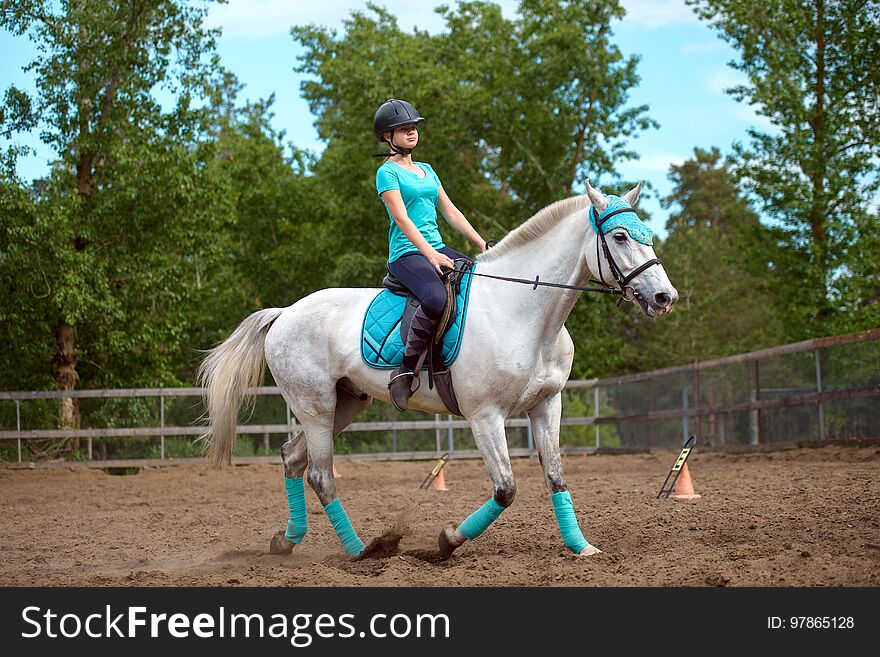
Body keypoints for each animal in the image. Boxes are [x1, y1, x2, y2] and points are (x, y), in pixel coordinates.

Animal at [201, 179, 680, 560]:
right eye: (620, 236)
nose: (664, 298)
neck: (525, 311)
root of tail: (284, 314)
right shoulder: (485, 416)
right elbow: (506, 488)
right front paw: (448, 540)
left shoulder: (547, 405)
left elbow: (556, 476)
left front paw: (582, 547)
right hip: (314, 405)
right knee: (320, 475)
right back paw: (361, 551)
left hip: (344, 404)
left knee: (293, 458)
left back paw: (287, 541)